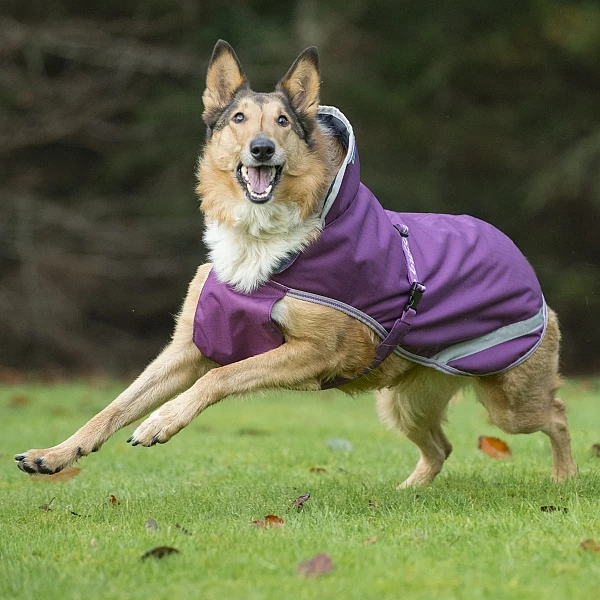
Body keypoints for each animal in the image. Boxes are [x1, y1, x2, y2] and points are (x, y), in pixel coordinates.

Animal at [14, 39, 576, 488]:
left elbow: (219, 378)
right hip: (403, 402)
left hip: (510, 404)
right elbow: (115, 405)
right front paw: (54, 455)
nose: (262, 149)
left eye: (282, 122)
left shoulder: (316, 351)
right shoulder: (187, 346)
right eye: (238, 119)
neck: (259, 241)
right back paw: (406, 492)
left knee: (558, 415)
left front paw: (160, 423)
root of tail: (513, 249)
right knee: (441, 447)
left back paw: (564, 478)